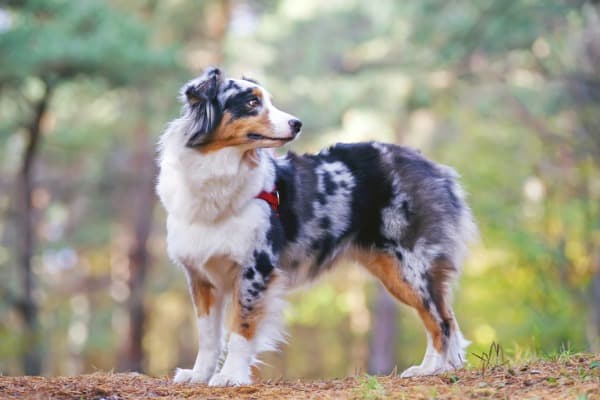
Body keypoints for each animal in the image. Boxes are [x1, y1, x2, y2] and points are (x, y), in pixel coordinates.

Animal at [157, 67, 476, 386]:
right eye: (251, 102)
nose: (297, 124)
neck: (217, 174)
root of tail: (433, 167)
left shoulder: (255, 268)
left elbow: (241, 327)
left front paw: (231, 376)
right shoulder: (201, 275)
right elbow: (208, 335)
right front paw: (199, 374)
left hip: (410, 265)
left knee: (441, 320)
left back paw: (430, 369)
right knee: (445, 317)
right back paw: (441, 367)